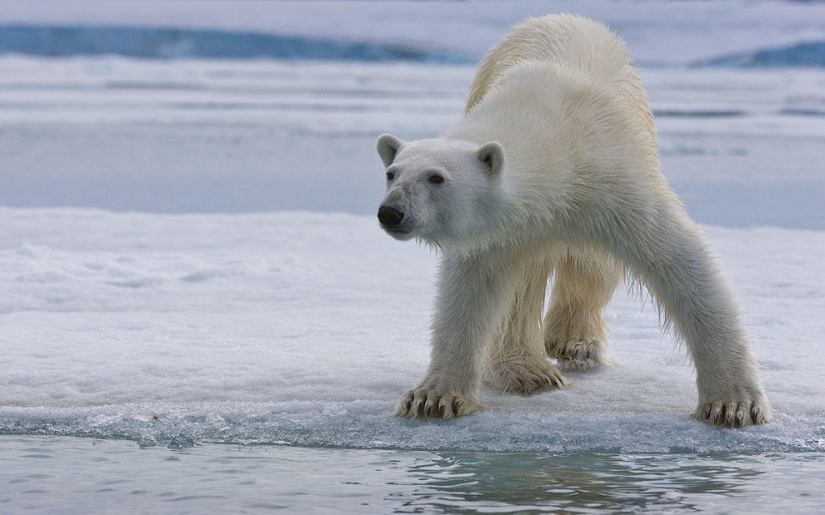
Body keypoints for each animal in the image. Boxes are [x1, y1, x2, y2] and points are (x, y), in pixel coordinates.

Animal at [375, 14, 771, 427]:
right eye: (392, 173)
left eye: (436, 177)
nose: (391, 212)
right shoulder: (502, 230)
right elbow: (472, 291)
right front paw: (433, 397)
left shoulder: (611, 177)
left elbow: (680, 261)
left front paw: (734, 404)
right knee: (527, 284)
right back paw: (530, 371)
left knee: (593, 267)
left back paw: (574, 345)